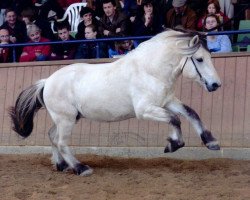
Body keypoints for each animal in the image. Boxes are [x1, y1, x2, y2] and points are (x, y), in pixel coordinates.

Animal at [9, 28, 221, 176]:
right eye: (199, 59)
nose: (215, 84)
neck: (150, 70)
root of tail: (47, 81)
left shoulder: (166, 101)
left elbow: (190, 113)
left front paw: (211, 142)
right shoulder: (145, 110)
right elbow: (175, 119)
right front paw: (173, 144)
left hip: (68, 118)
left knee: (52, 136)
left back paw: (62, 165)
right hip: (66, 119)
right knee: (61, 141)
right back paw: (81, 168)